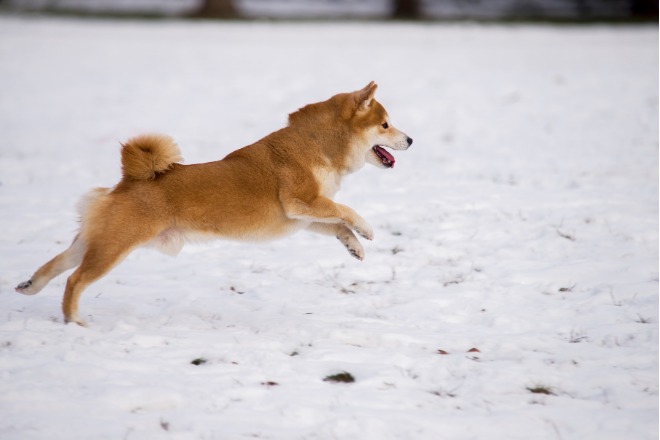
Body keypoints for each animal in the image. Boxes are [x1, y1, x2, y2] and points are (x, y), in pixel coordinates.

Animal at [15, 81, 412, 324]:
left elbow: (336, 225)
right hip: (115, 246)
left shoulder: (303, 216)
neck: (317, 145)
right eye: (385, 125)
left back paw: (29, 286)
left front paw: (354, 246)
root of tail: (129, 180)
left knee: (57, 264)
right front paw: (367, 228)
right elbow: (345, 212)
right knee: (74, 279)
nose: (410, 139)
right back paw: (73, 319)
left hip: (96, 240)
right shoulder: (300, 202)